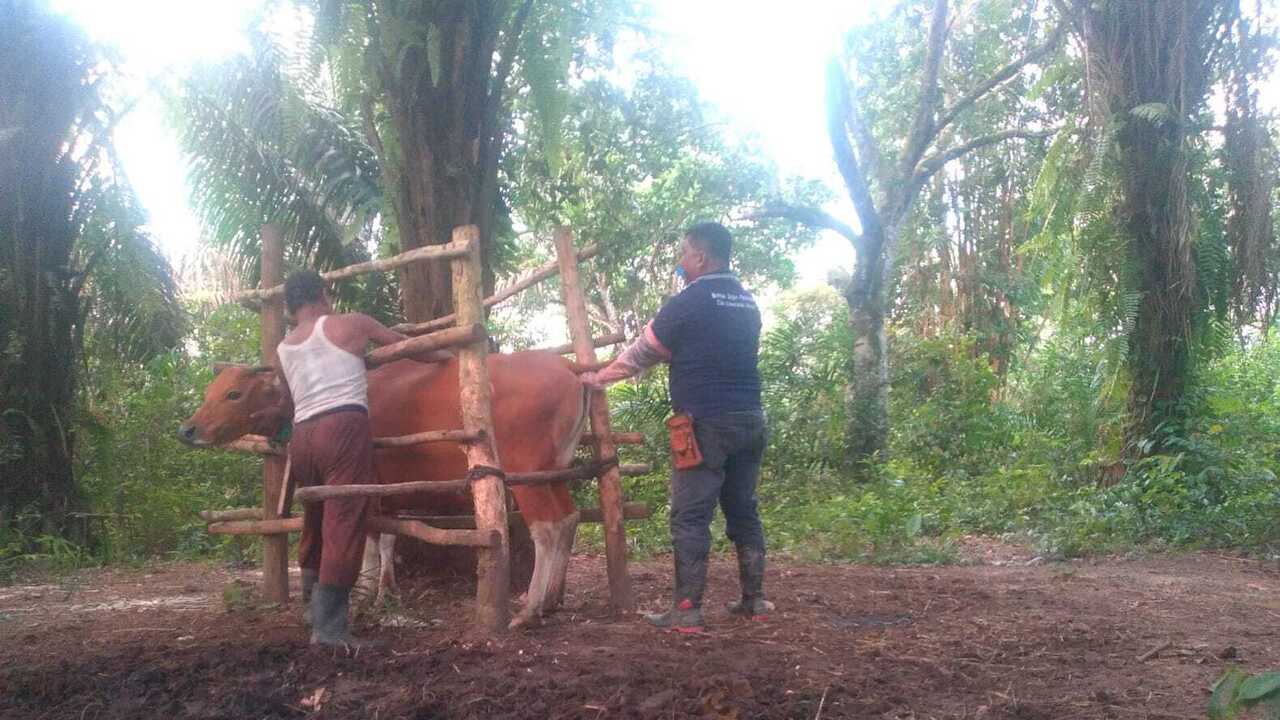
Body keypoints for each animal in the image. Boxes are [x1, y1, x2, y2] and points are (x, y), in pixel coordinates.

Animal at [181, 351, 588, 625]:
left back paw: (530, 607)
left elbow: (370, 537)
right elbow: (389, 536)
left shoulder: (360, 480)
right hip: (555, 471)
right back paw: (553, 597)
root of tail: (568, 367)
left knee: (546, 527)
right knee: (569, 518)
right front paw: (385, 591)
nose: (188, 429)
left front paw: (362, 592)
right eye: (211, 390)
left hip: (527, 472)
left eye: (234, 393)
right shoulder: (389, 485)